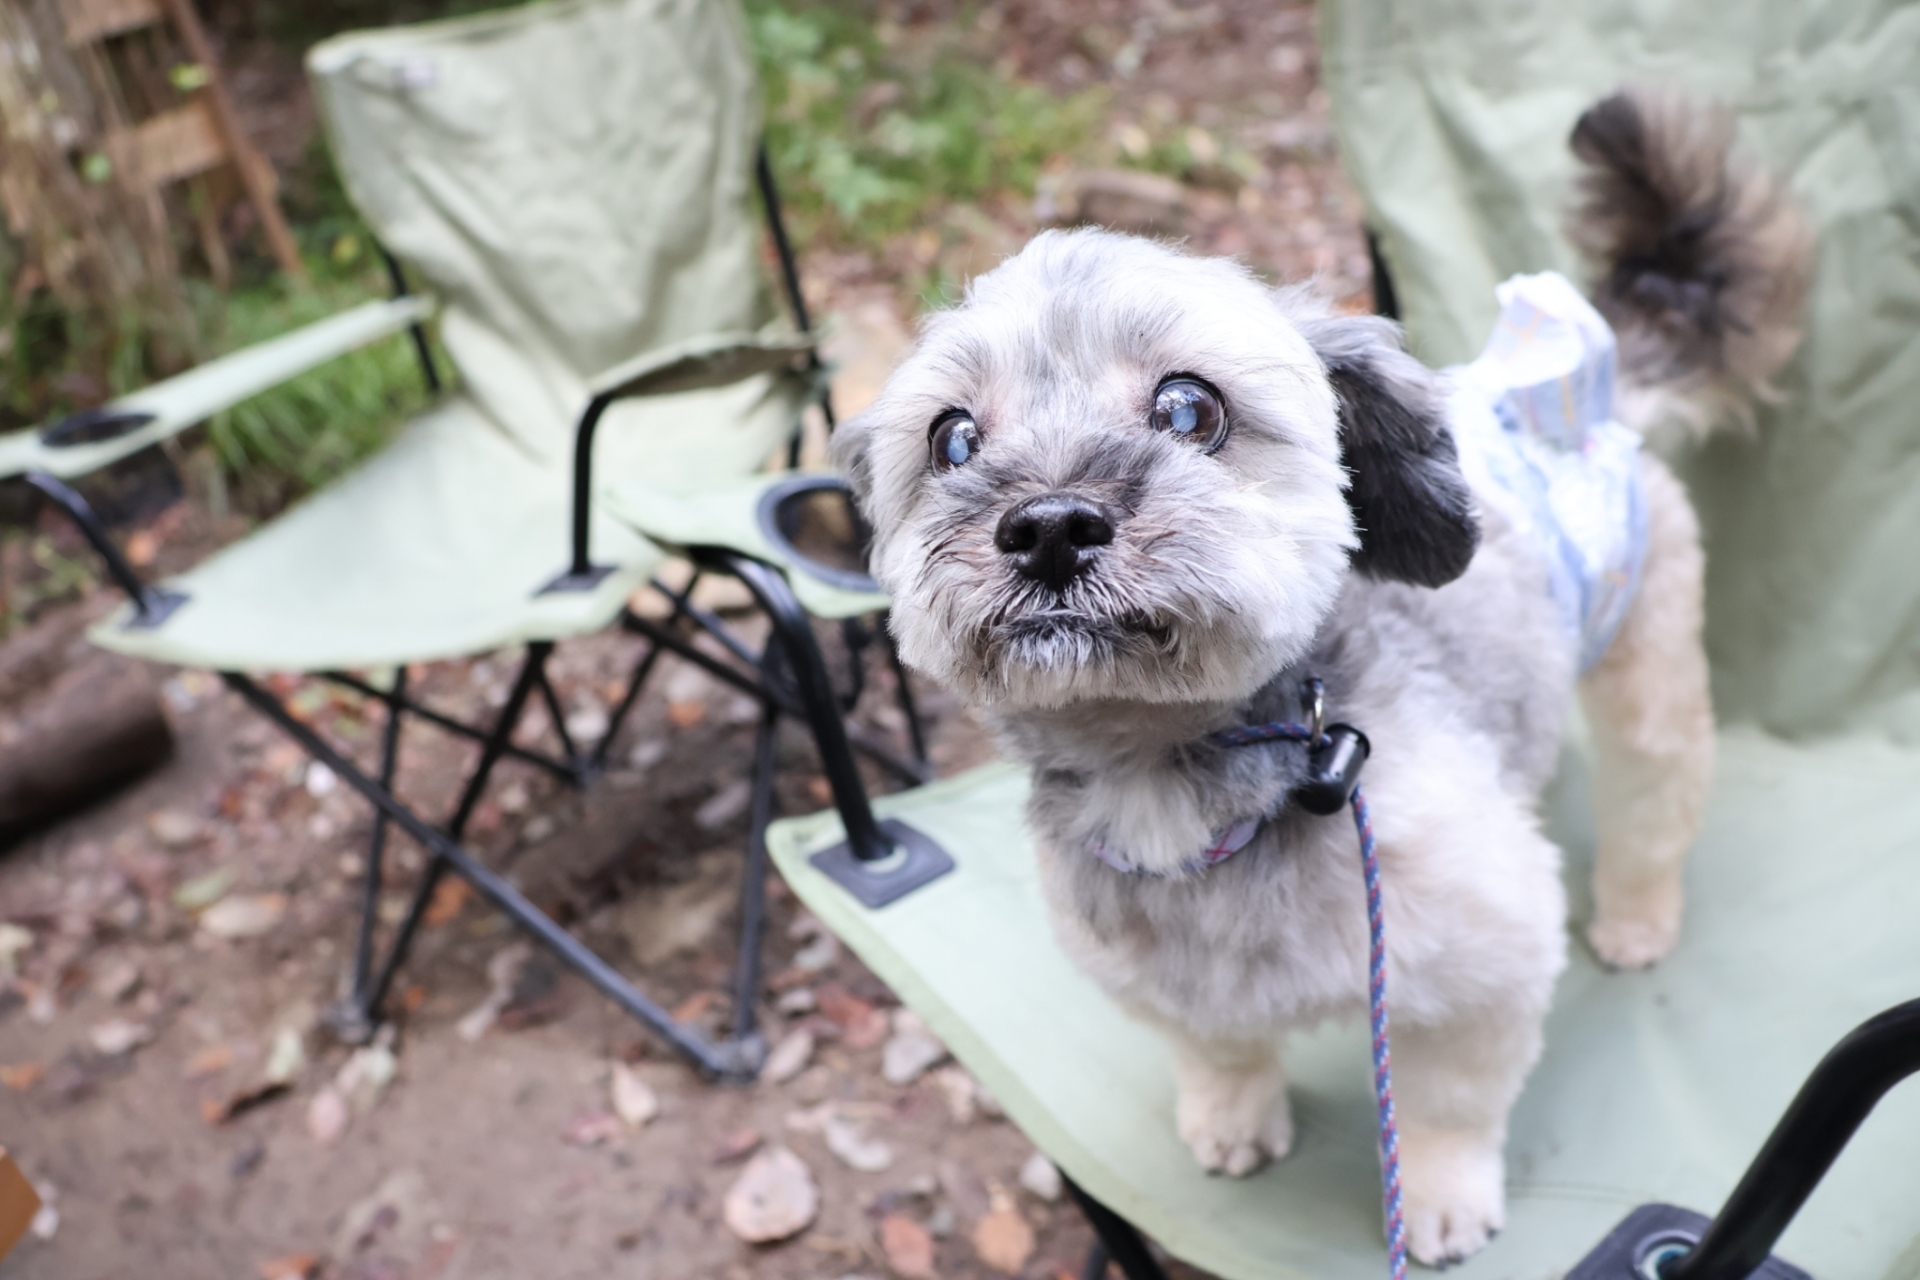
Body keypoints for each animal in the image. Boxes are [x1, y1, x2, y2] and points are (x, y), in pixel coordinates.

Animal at [833, 94, 1804, 1266]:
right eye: (953, 439)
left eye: (1189, 408)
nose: (1050, 526)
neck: (1166, 774)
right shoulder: (1154, 979)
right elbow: (1218, 1050)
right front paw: (1231, 1117)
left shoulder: (1485, 953)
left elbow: (1447, 1101)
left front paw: (1439, 1197)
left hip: (1647, 657)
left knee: (1655, 801)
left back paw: (1638, 917)